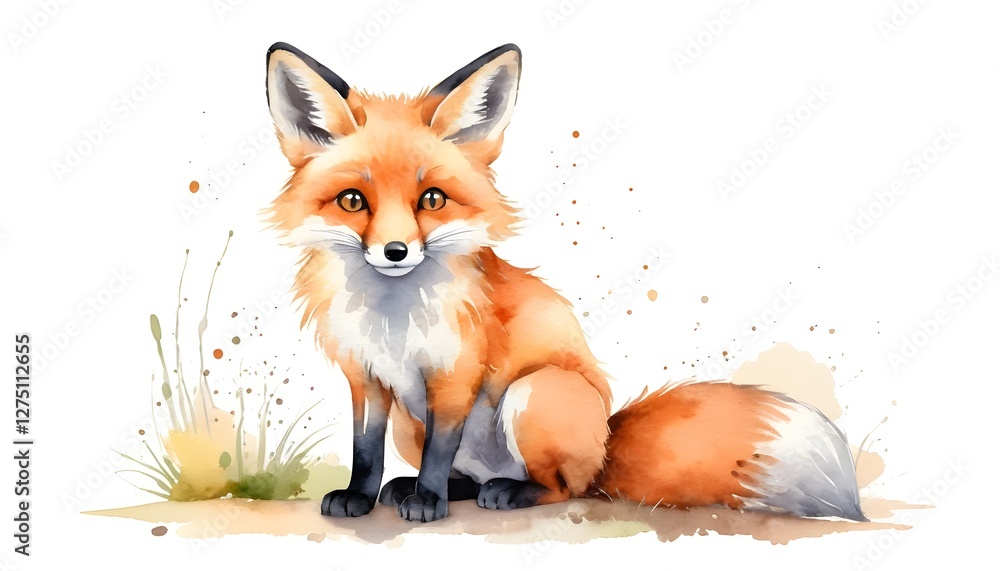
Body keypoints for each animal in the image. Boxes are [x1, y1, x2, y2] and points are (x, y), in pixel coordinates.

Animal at [264, 42, 866, 523]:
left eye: (431, 199)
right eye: (353, 201)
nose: (395, 252)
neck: (392, 318)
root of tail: (605, 444)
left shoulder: (457, 376)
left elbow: (440, 451)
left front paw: (428, 502)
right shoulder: (365, 378)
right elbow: (365, 452)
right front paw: (359, 497)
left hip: (535, 393)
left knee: (563, 487)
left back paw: (504, 493)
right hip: (411, 424)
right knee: (470, 477)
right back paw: (432, 488)